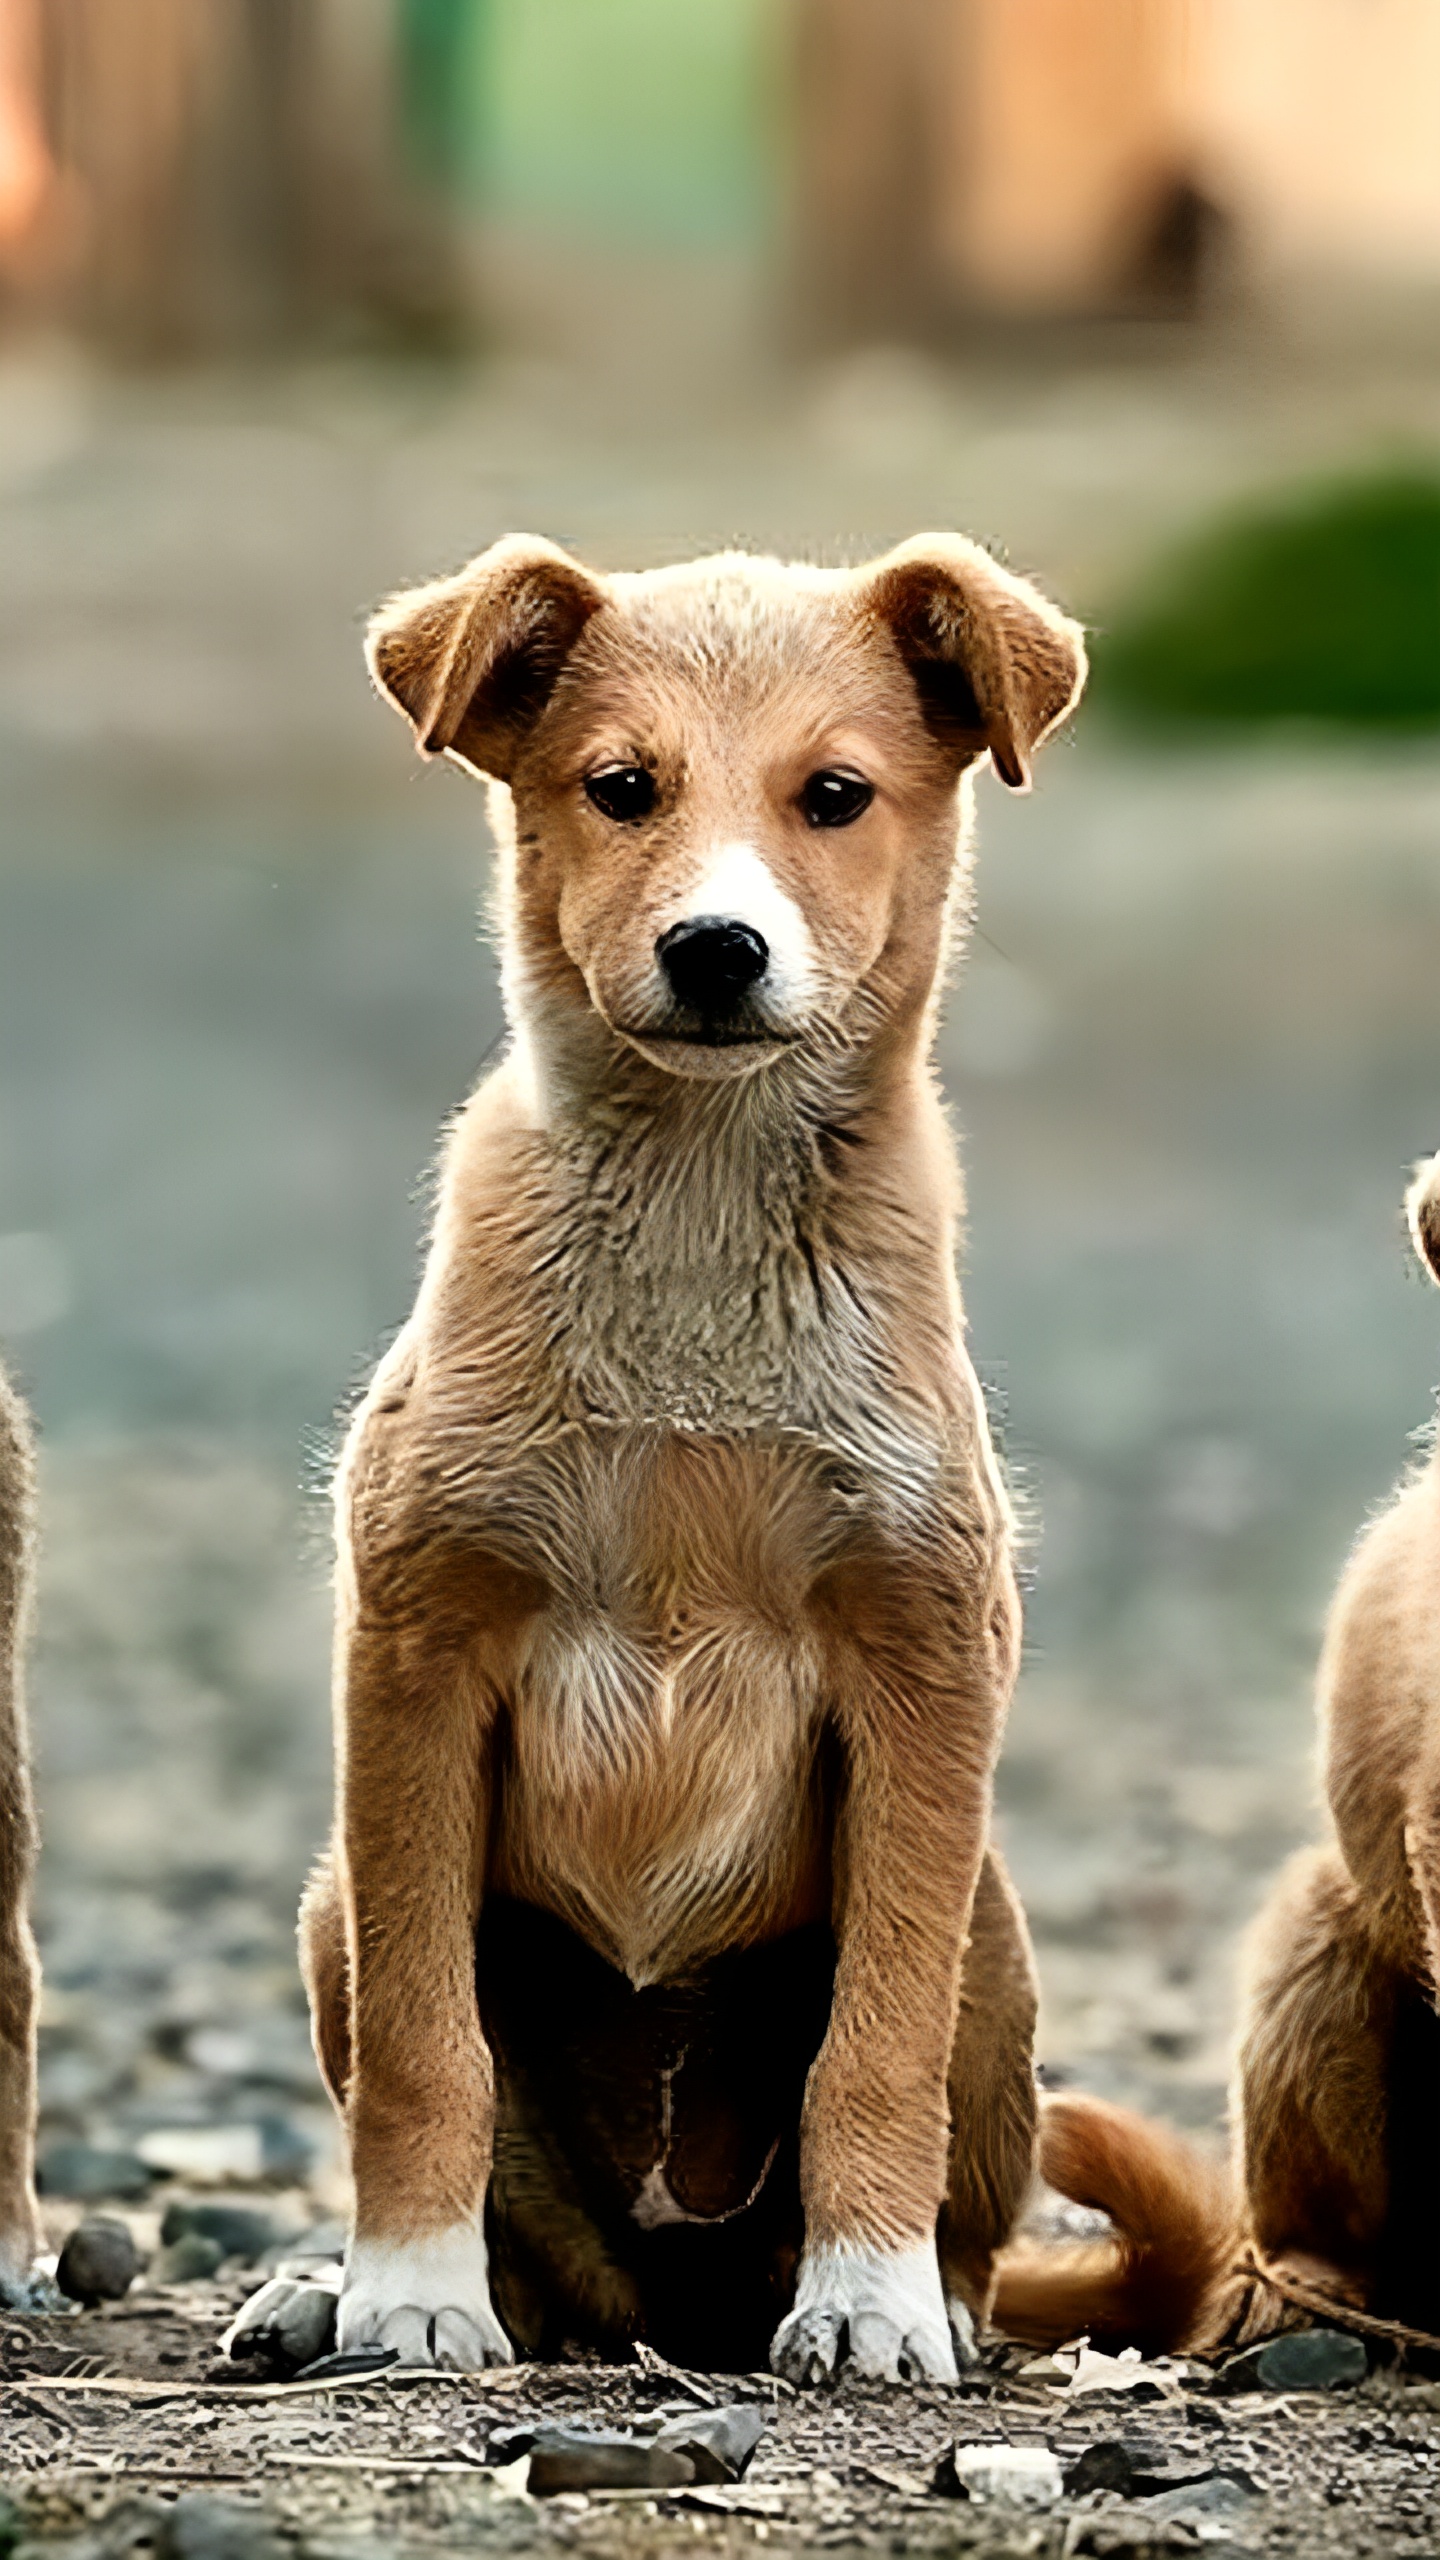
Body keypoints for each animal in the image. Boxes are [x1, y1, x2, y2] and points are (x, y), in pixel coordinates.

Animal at [263, 535, 1081, 2375]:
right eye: (619, 788)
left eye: (834, 796)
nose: (716, 949)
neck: (700, 1225)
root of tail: (672, 2297)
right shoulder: (416, 1649)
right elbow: (426, 2048)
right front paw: (406, 2291)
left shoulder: (925, 1656)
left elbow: (876, 2043)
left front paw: (868, 2302)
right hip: (336, 1898)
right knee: (527, 2224)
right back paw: (337, 2291)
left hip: (994, 1927)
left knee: (959, 2173)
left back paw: (922, 2296)